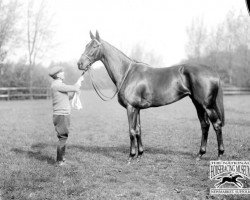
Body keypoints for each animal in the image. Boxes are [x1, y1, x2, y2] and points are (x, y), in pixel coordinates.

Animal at [77, 30, 226, 160]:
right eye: (86, 45)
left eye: (94, 46)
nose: (80, 64)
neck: (127, 73)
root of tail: (212, 71)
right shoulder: (137, 108)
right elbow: (138, 130)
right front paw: (140, 154)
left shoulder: (130, 108)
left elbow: (131, 131)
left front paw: (131, 156)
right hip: (198, 104)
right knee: (205, 125)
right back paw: (200, 154)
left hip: (207, 105)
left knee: (216, 125)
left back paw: (219, 154)